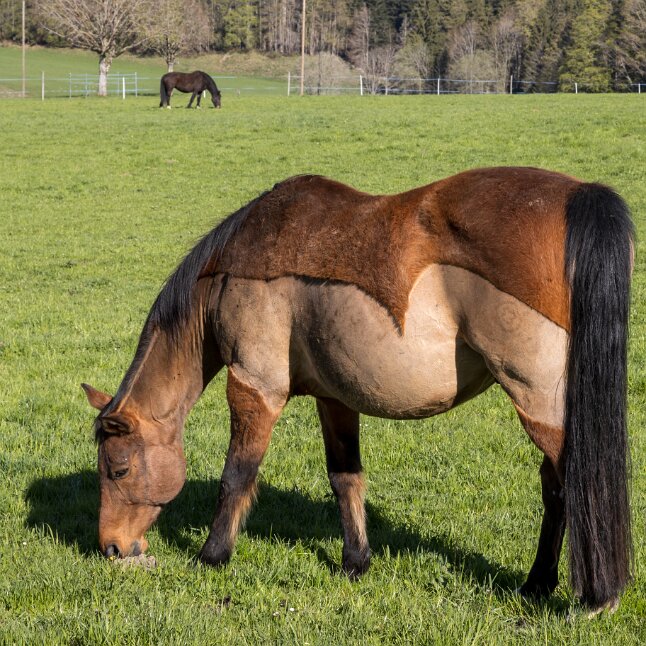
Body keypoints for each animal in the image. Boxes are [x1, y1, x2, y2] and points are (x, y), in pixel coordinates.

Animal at [82, 167, 634, 615]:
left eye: (118, 468)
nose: (110, 548)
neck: (228, 270)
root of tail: (578, 196)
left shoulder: (255, 386)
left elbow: (236, 475)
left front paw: (212, 556)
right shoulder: (335, 400)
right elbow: (345, 478)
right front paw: (355, 561)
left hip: (538, 404)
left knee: (576, 483)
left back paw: (593, 597)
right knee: (556, 487)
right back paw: (538, 584)